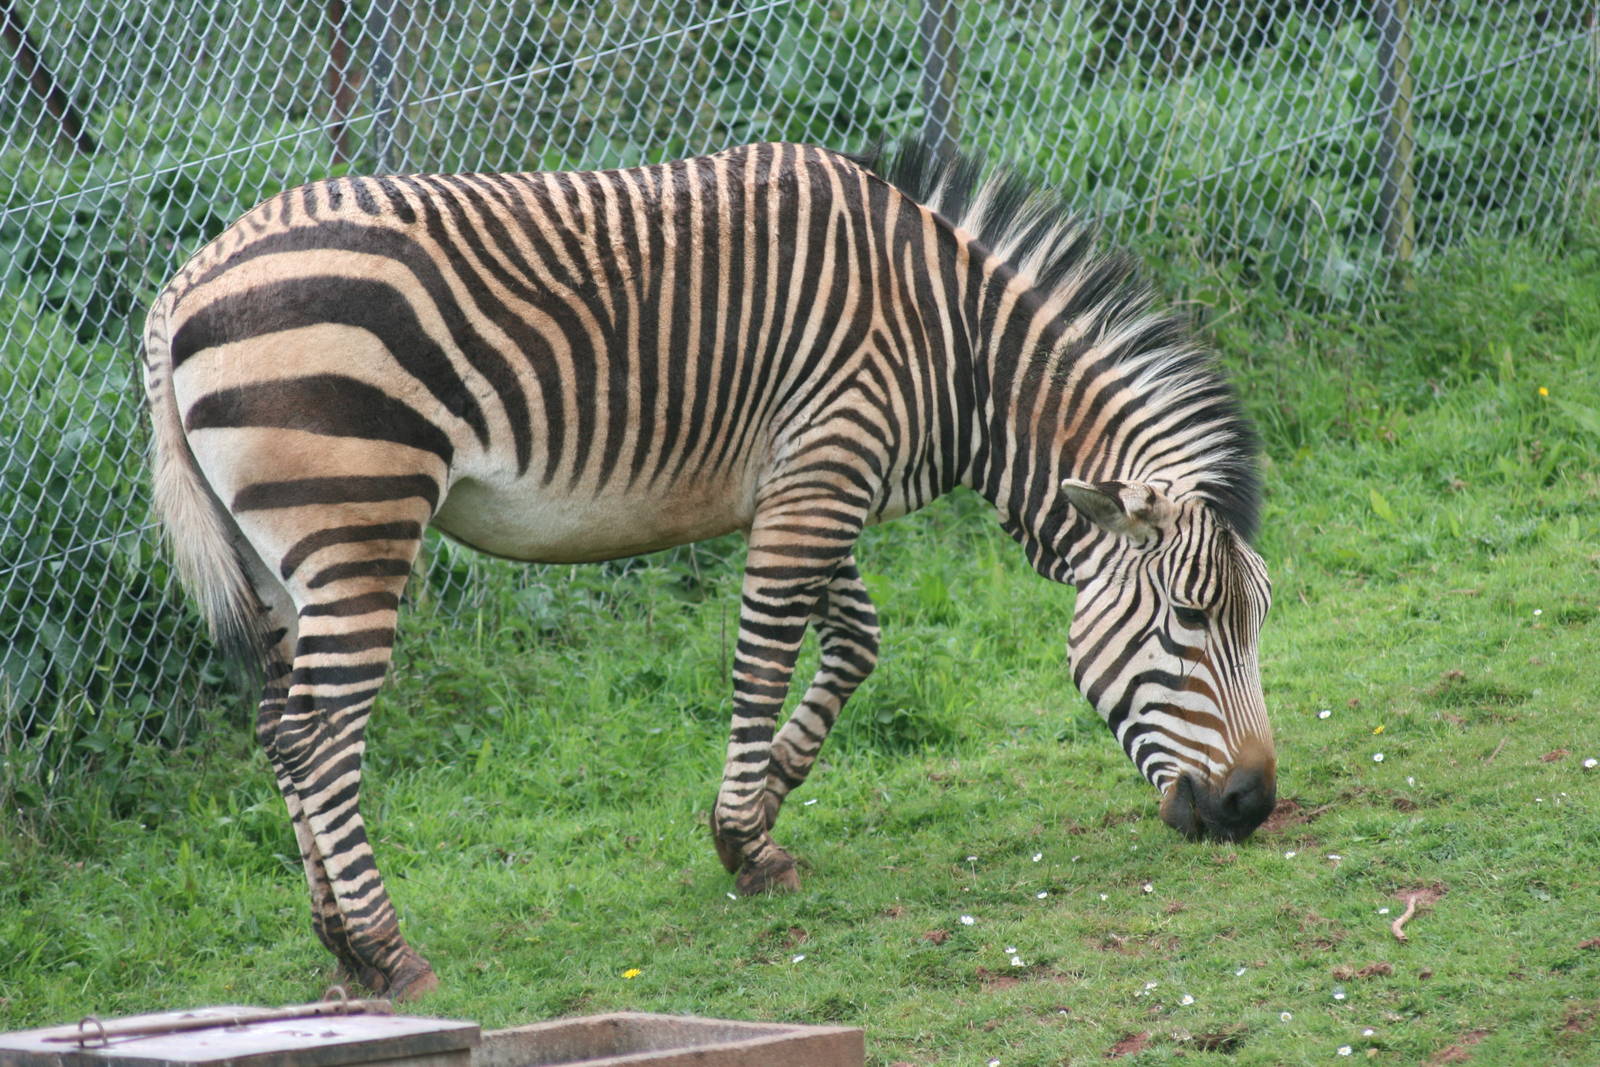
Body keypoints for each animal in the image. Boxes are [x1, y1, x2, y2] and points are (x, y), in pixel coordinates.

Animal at [144, 140, 1276, 999]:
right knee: (318, 733)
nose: (1253, 806)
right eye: (1188, 618)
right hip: (358, 519)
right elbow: (765, 656)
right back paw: (386, 950)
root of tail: (181, 289)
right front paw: (745, 842)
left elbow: (856, 642)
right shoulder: (822, 472)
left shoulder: (804, 487)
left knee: (278, 726)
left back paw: (338, 942)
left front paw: (766, 798)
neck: (955, 349)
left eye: (1256, 617)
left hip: (277, 558)